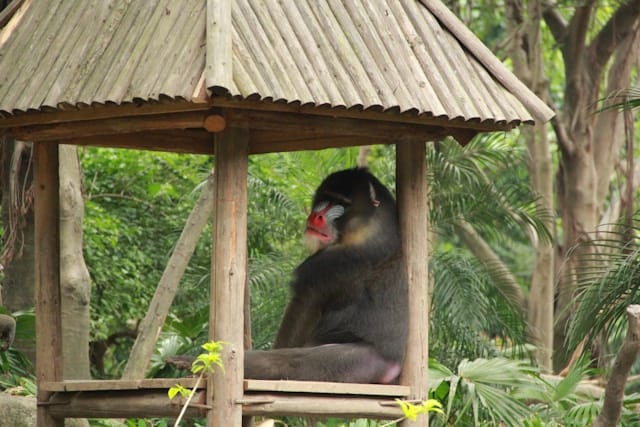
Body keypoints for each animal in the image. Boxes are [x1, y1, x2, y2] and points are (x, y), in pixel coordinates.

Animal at [244, 167, 408, 384]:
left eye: (343, 203)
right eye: (327, 197)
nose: (317, 217)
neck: (369, 226)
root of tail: (390, 365)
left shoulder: (325, 267)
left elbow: (303, 305)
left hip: (350, 363)